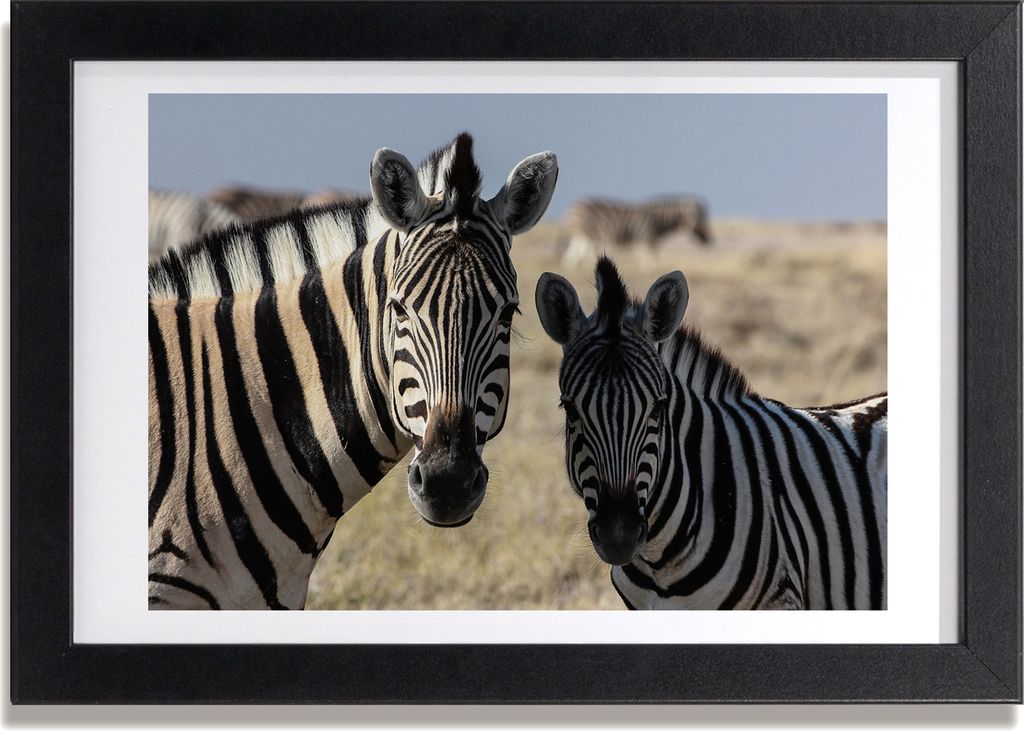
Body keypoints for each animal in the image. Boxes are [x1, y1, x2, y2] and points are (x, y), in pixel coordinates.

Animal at [561, 196, 711, 267]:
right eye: (701, 221)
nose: (708, 241)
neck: (658, 220)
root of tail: (574, 205)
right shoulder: (646, 237)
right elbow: (649, 258)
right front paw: (650, 270)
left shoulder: (646, 239)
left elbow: (648, 257)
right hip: (586, 232)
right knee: (580, 251)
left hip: (583, 235)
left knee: (576, 251)